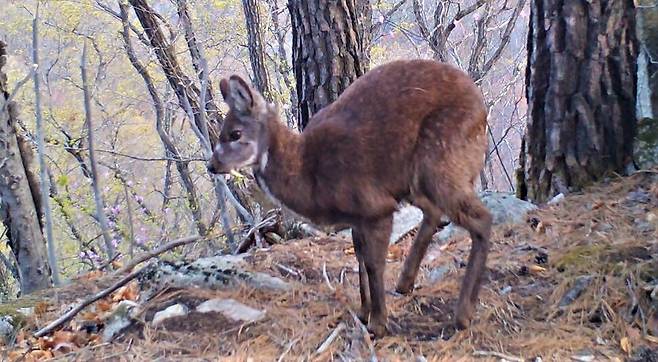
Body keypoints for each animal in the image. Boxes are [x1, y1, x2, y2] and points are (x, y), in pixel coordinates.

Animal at [208, 58, 490, 336]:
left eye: (235, 134)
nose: (212, 166)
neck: (310, 174)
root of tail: (481, 106)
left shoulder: (376, 207)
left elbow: (374, 264)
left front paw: (378, 324)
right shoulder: (357, 216)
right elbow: (360, 259)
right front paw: (364, 313)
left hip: (441, 159)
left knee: (481, 220)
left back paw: (463, 315)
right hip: (415, 180)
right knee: (435, 212)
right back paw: (405, 283)